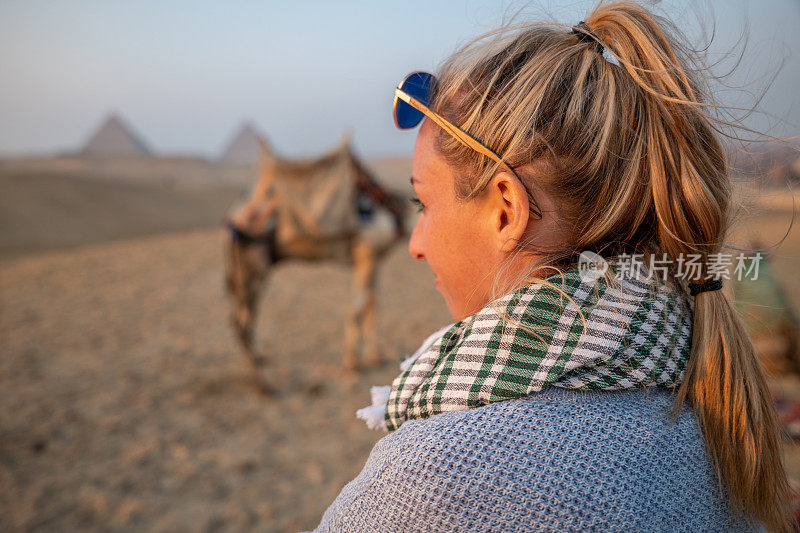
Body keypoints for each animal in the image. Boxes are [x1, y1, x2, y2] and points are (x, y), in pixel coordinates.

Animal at [223, 134, 406, 382]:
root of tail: (234, 217)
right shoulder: (367, 252)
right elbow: (358, 305)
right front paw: (352, 365)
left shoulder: (373, 259)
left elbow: (370, 302)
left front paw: (373, 359)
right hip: (253, 266)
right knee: (241, 320)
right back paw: (262, 382)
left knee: (242, 317)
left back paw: (259, 365)